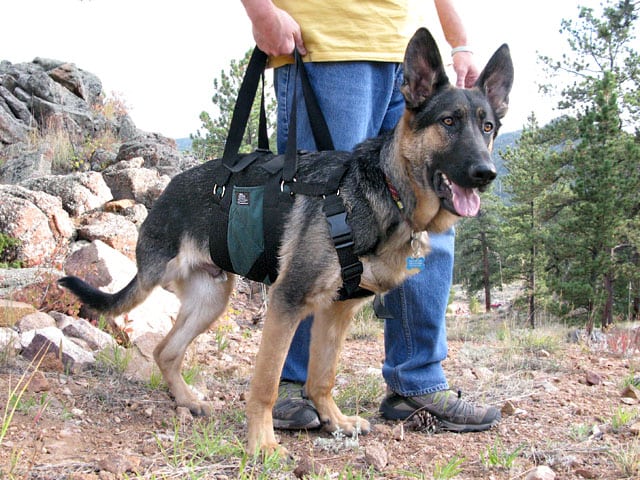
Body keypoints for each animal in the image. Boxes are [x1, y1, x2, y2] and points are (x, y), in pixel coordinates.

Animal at [57, 28, 512, 456]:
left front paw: (335, 421)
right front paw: (262, 442)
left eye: (488, 127)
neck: (386, 188)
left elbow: (322, 376)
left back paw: (186, 400)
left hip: (210, 299)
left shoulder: (338, 310)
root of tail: (167, 192)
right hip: (178, 285)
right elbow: (267, 382)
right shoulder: (287, 301)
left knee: (166, 351)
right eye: (448, 122)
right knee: (167, 346)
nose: (486, 173)